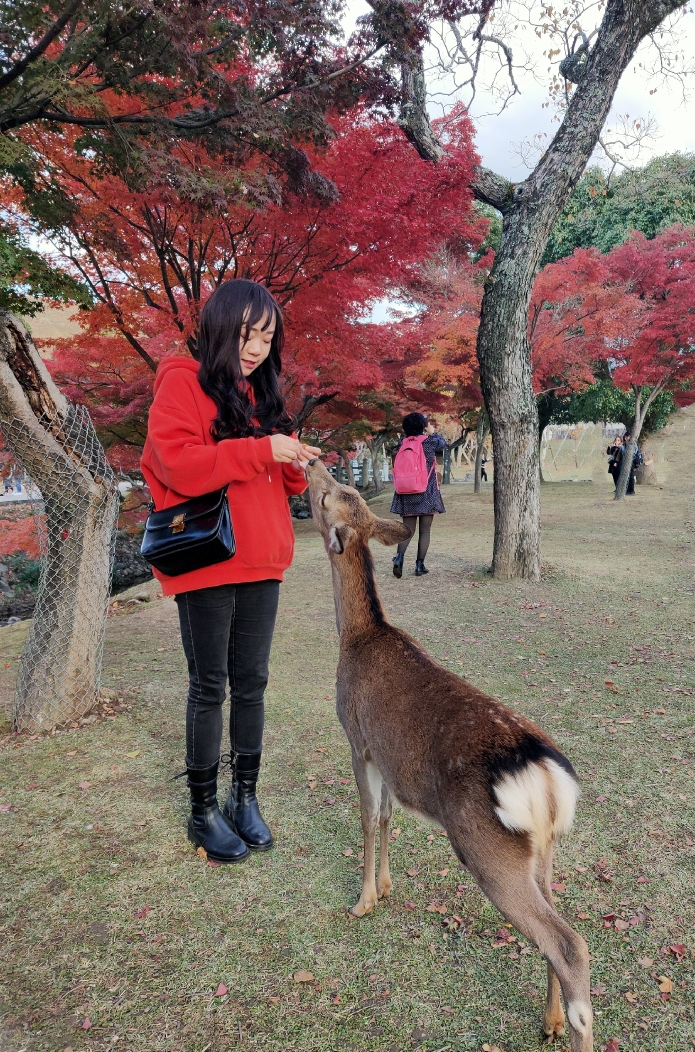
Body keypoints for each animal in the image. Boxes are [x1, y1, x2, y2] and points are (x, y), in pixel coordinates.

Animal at [302, 460, 593, 1052]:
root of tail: (547, 777)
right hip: (544, 850)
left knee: (570, 945)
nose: (313, 462)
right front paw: (386, 887)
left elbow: (366, 818)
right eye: (343, 491)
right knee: (558, 927)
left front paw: (362, 901)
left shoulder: (357, 740)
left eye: (329, 497)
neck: (356, 637)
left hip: (489, 852)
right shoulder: (390, 761)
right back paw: (550, 1020)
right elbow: (387, 817)